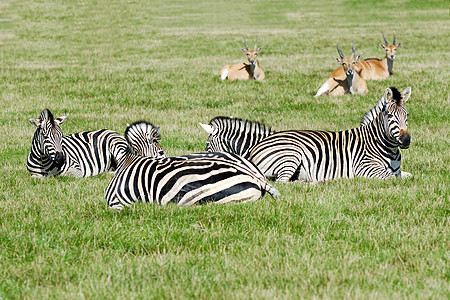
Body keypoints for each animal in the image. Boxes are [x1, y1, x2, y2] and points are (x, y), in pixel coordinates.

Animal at [200, 85, 412, 182]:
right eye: (390, 115)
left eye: (407, 115)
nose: (406, 139)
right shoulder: (365, 168)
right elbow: (395, 178)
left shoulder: (395, 170)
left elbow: (408, 176)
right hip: (290, 155)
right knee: (285, 182)